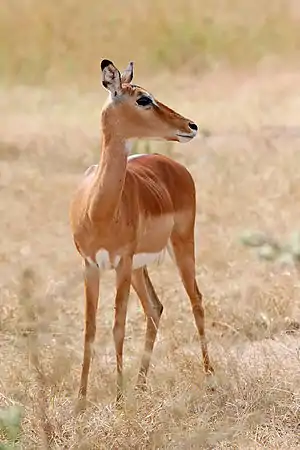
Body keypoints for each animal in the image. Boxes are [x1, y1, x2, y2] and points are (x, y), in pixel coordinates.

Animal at [69, 59, 214, 408]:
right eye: (143, 99)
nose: (191, 125)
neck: (98, 210)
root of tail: (170, 164)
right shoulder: (90, 265)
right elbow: (89, 329)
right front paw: (81, 402)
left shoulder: (121, 263)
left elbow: (118, 326)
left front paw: (120, 400)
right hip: (139, 267)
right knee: (155, 307)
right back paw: (141, 384)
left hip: (180, 246)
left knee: (196, 300)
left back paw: (209, 379)